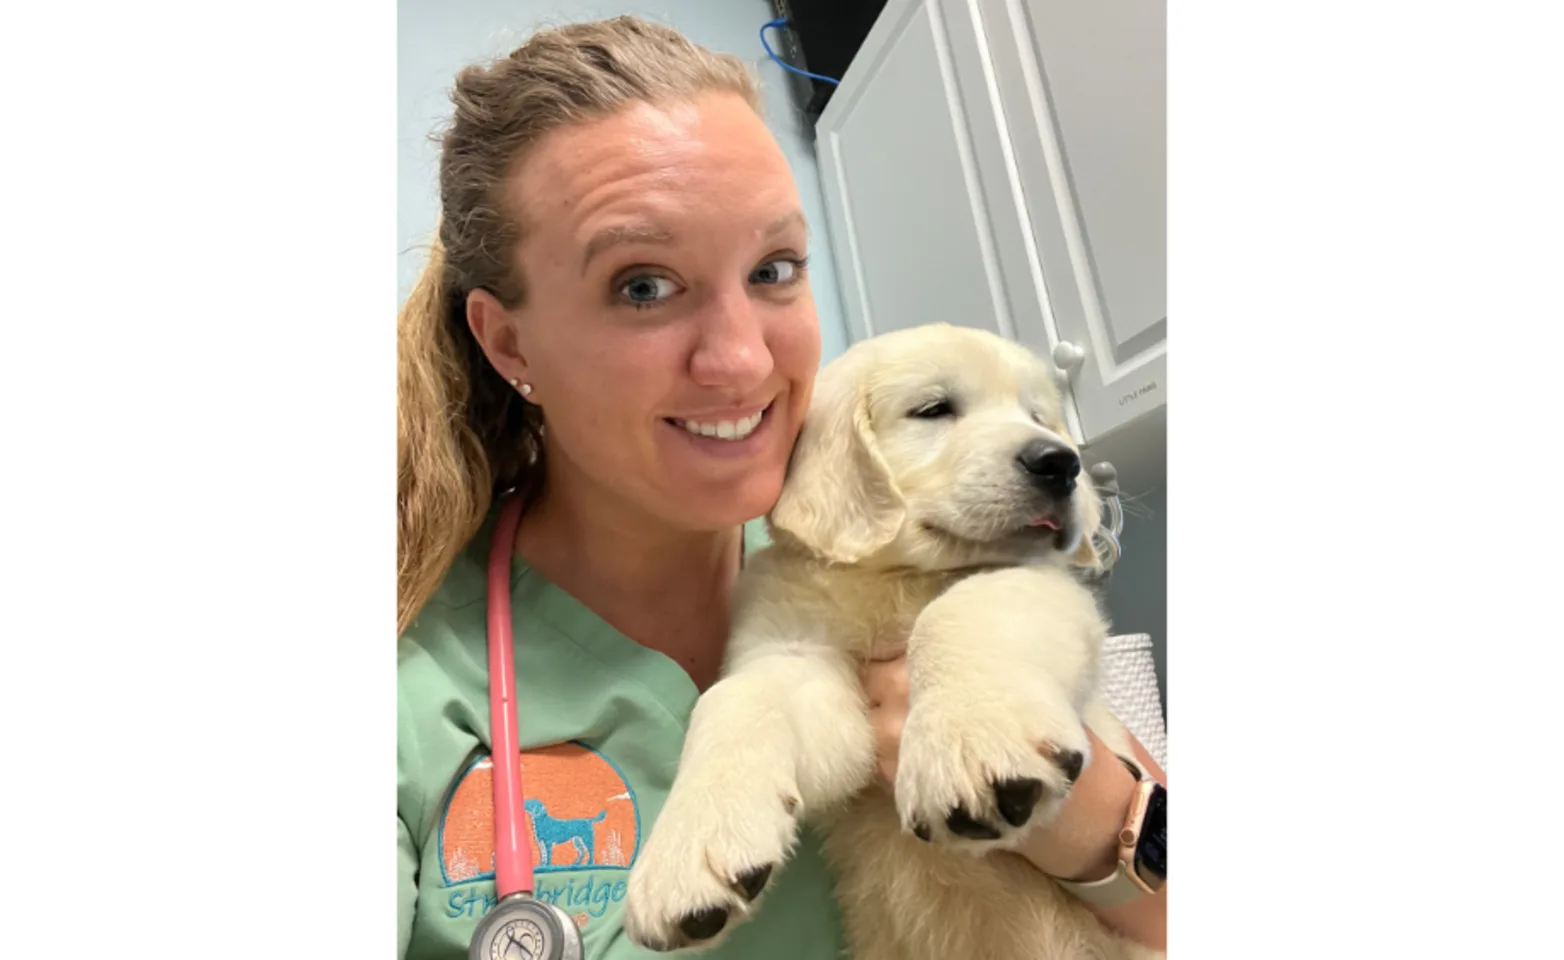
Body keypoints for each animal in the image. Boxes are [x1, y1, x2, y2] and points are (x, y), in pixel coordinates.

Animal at [625, 325, 1163, 960]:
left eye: (1038, 417)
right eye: (933, 409)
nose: (1062, 462)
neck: (896, 578)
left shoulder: (1043, 585)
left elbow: (957, 609)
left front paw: (972, 743)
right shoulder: (793, 653)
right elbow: (734, 698)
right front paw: (687, 853)